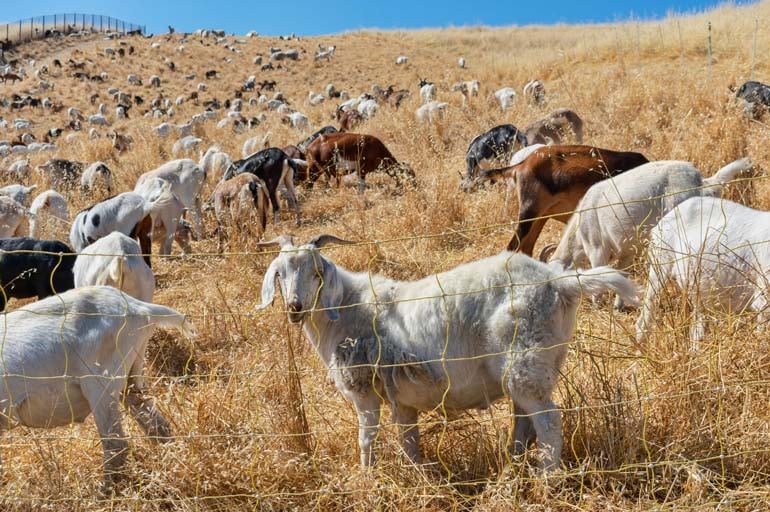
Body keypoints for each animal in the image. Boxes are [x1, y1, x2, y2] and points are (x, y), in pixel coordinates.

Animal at [0, 286, 195, 490]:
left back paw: (104, 491)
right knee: (156, 425)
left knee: (116, 445)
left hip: (100, 384)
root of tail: (140, 308)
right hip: (129, 378)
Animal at [256, 234, 636, 470]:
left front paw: (367, 475)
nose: (294, 307)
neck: (346, 308)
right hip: (539, 364)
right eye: (280, 274)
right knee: (525, 421)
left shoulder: (363, 390)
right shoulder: (403, 399)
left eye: (317, 273)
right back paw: (515, 462)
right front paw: (420, 473)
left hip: (526, 361)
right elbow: (408, 439)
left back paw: (546, 477)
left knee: (548, 421)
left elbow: (366, 438)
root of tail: (558, 282)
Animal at [544, 157, 752, 308]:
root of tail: (702, 182)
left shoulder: (596, 248)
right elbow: (623, 273)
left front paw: (598, 305)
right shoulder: (627, 251)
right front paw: (619, 305)